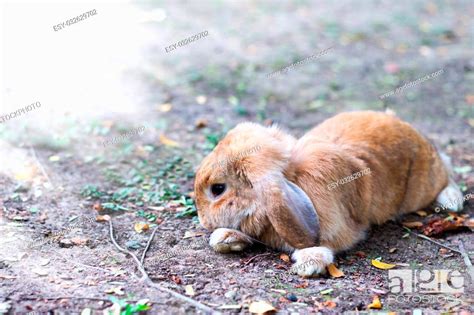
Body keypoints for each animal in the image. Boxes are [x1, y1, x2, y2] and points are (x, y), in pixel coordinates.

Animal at [193, 110, 462, 276]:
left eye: (217, 189)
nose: (203, 221)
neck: (293, 176)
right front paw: (225, 238)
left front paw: (308, 263)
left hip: (424, 185)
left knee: (446, 172)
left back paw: (453, 200)